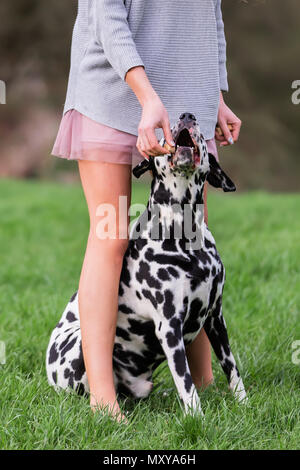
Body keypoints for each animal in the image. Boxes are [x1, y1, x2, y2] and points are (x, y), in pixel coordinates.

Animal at [45, 112, 246, 414]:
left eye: (199, 131)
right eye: (162, 134)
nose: (187, 115)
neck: (184, 235)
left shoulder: (215, 316)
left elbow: (232, 367)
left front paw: (244, 403)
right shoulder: (169, 327)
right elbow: (186, 383)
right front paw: (197, 417)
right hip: (81, 348)